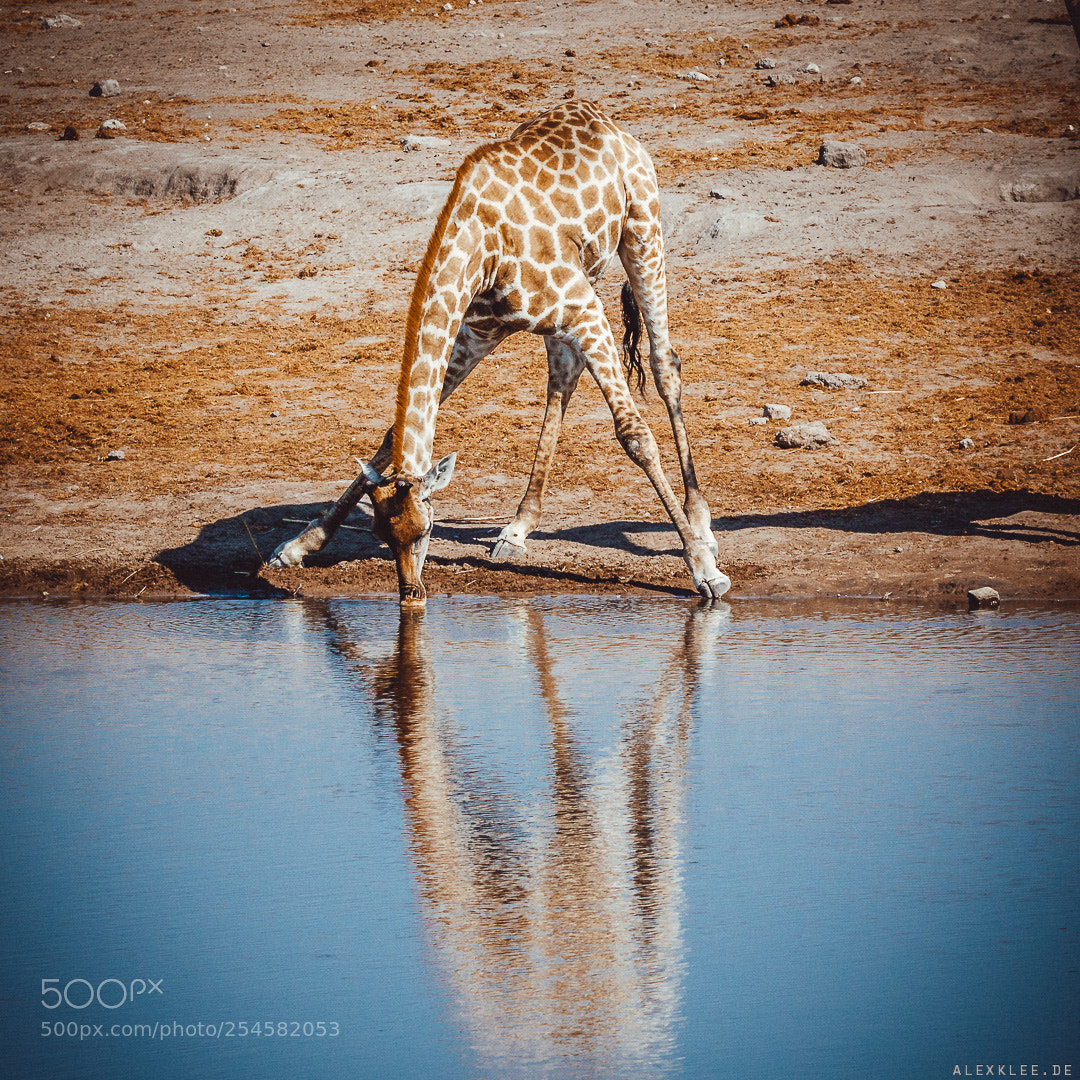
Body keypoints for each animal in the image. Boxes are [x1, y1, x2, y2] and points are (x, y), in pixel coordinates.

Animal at [269, 100, 731, 606]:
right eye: (382, 535)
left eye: (426, 530)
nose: (411, 594)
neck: (484, 249)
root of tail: (604, 118)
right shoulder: (479, 331)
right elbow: (392, 436)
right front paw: (298, 545)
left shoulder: (587, 312)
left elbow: (635, 436)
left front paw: (704, 569)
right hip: (572, 300)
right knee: (562, 379)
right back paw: (517, 527)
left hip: (643, 231)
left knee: (665, 365)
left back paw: (700, 520)